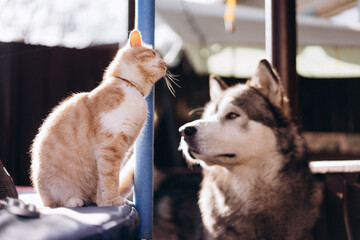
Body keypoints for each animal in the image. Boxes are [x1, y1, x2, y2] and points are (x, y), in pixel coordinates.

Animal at [30, 29, 167, 206]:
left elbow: (107, 179)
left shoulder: (121, 149)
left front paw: (104, 201)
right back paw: (73, 200)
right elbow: (110, 177)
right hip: (53, 192)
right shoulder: (110, 145)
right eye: (153, 54)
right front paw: (113, 200)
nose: (166, 64)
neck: (131, 88)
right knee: (56, 202)